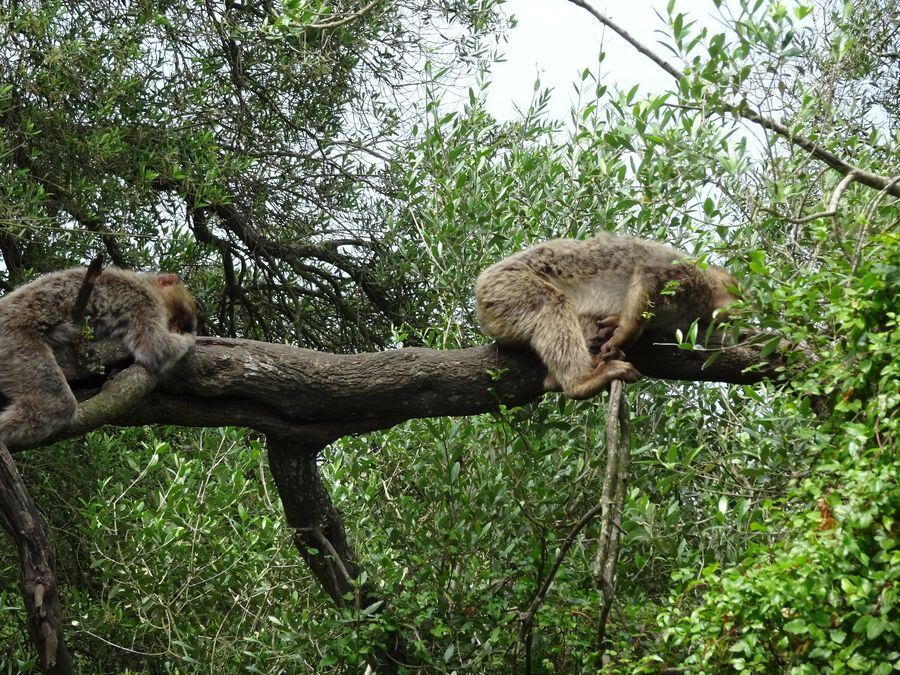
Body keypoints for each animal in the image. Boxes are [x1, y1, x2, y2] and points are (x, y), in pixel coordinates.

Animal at [0, 268, 198, 448]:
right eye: (175, 324)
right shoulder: (142, 302)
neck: (144, 284)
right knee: (56, 404)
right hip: (14, 341)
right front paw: (190, 339)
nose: (176, 329)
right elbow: (156, 347)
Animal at [474, 234, 740, 398]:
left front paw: (614, 325)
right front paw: (624, 334)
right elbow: (647, 275)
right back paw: (579, 383)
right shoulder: (687, 275)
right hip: (505, 289)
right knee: (553, 304)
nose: (739, 314)